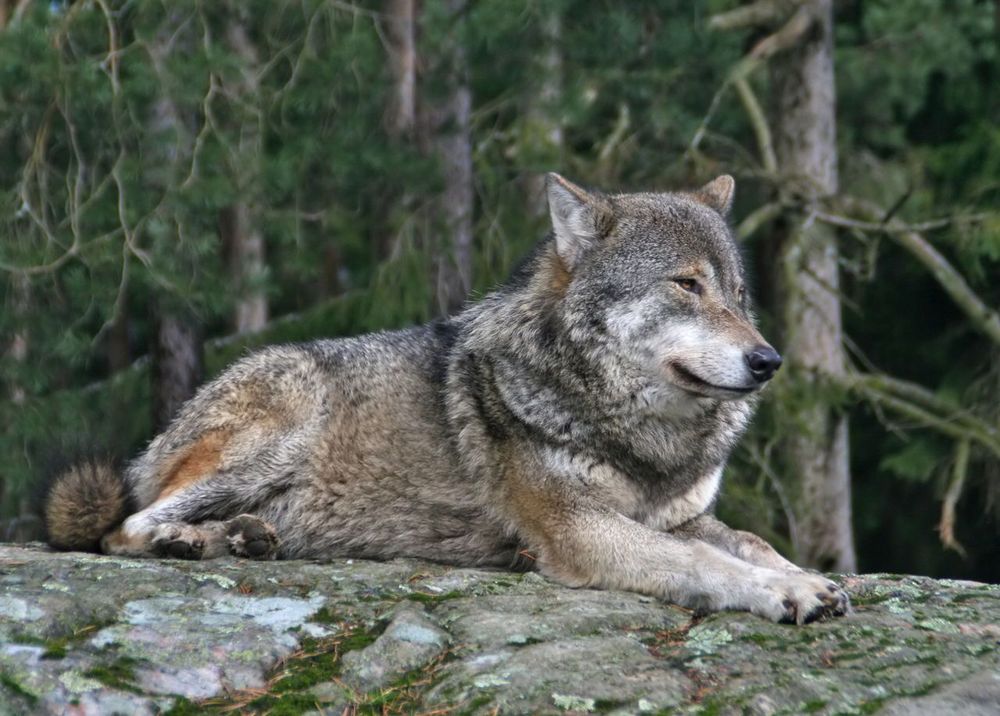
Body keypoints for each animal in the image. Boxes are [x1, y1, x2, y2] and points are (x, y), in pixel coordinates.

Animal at [44, 173, 849, 625]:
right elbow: (704, 564)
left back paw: (238, 538)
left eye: (738, 295)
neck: (641, 434)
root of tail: (161, 436)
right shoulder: (577, 527)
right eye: (687, 285)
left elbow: (749, 542)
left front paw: (806, 577)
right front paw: (785, 595)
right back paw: (190, 539)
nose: (768, 361)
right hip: (275, 431)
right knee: (122, 527)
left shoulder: (678, 516)